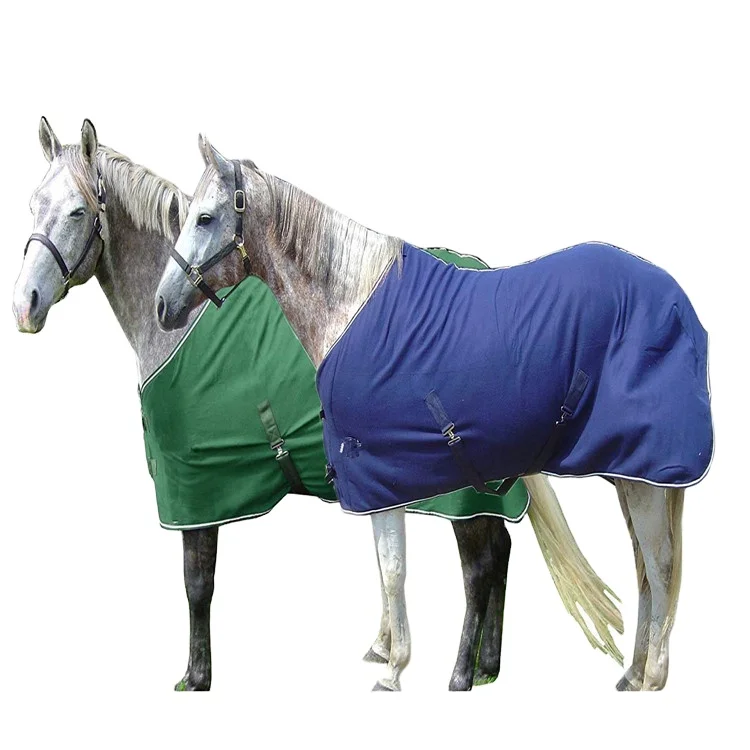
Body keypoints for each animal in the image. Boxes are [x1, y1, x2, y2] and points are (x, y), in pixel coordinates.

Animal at [13, 119, 622, 691]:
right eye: (33, 204)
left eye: (76, 211)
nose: (24, 305)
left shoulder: (198, 485)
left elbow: (197, 583)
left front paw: (197, 676)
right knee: (500, 552)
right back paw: (488, 666)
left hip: (462, 489)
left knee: (481, 565)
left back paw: (461, 676)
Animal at [155, 136, 711, 691]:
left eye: (204, 218)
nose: (163, 306)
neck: (349, 306)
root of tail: (679, 304)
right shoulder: (382, 480)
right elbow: (389, 567)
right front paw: (393, 658)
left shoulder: (375, 474)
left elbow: (394, 571)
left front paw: (394, 670)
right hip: (630, 474)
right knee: (644, 567)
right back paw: (630, 672)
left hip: (641, 476)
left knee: (659, 565)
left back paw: (648, 677)